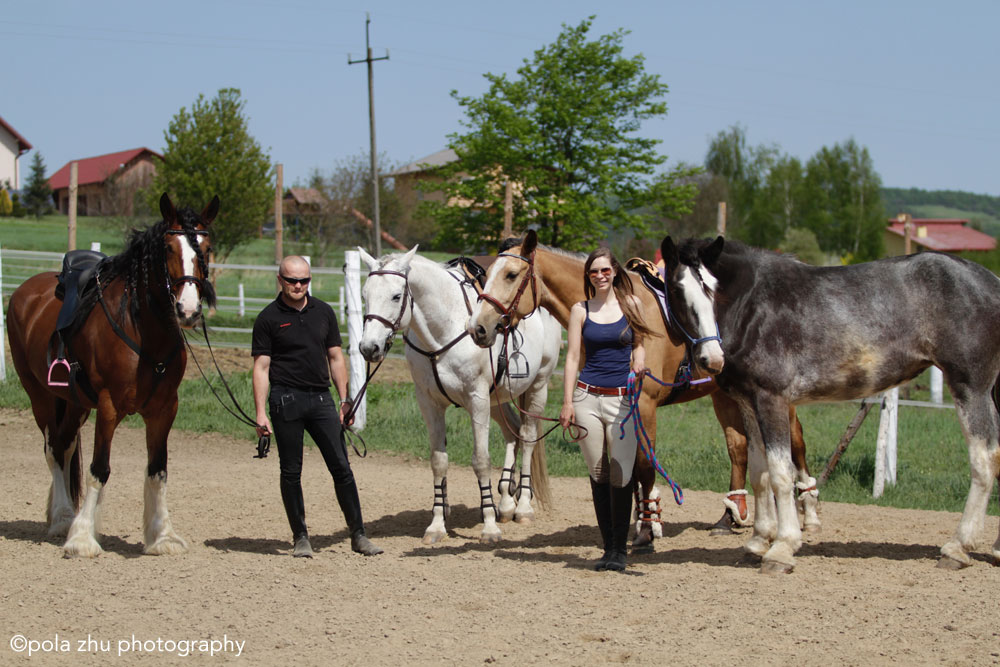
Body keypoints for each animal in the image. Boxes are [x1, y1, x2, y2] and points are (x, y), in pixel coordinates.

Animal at [8, 193, 217, 560]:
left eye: (205, 248)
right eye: (168, 248)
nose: (188, 311)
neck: (144, 332)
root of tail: (26, 291)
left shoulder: (164, 410)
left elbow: (157, 470)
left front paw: (161, 536)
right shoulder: (108, 408)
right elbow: (99, 470)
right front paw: (81, 539)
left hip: (74, 403)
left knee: (64, 446)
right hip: (40, 396)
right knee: (52, 449)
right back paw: (63, 518)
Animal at [358, 248, 564, 544]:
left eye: (396, 296)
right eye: (365, 294)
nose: (368, 348)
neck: (445, 329)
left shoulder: (476, 399)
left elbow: (481, 460)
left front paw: (489, 526)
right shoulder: (429, 402)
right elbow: (438, 461)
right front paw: (437, 524)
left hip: (538, 386)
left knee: (526, 438)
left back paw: (522, 506)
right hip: (498, 399)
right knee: (512, 433)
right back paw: (505, 502)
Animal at [468, 232, 820, 552]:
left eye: (511, 275)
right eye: (488, 273)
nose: (478, 328)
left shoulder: (646, 405)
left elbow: (643, 466)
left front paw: (647, 529)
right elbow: (631, 468)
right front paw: (641, 521)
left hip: (775, 401)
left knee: (797, 444)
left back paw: (809, 513)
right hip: (724, 395)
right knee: (738, 447)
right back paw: (729, 517)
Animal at [660, 236, 1000, 576]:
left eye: (712, 288)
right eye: (676, 289)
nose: (712, 358)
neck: (751, 307)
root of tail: (991, 282)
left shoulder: (772, 399)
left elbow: (781, 474)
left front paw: (782, 548)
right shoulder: (748, 403)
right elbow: (760, 473)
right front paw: (758, 540)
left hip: (971, 387)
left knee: (984, 460)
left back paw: (958, 548)